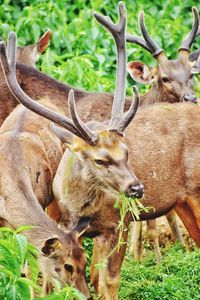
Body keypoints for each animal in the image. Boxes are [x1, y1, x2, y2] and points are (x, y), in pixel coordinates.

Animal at [1, 2, 200, 300]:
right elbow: (89, 278)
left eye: (127, 151)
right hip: (184, 201)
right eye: (99, 160)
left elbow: (108, 282)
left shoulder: (120, 222)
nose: (137, 188)